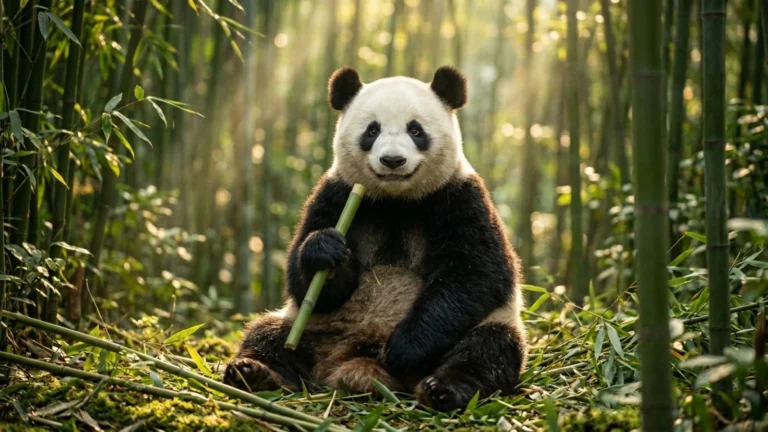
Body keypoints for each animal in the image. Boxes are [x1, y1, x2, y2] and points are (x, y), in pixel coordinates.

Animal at [224, 65, 527, 411]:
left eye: (415, 129)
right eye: (372, 130)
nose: (392, 160)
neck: (396, 201)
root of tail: (351, 363)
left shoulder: (460, 197)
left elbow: (476, 274)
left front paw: (404, 349)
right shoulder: (337, 195)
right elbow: (306, 284)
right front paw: (324, 249)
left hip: (491, 325)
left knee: (487, 349)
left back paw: (442, 389)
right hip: (312, 326)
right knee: (267, 334)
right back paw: (253, 372)